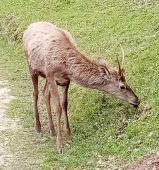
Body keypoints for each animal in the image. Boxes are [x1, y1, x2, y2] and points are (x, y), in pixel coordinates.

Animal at [23, 21, 140, 153]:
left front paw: (69, 135)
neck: (65, 66)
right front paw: (60, 146)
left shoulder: (65, 80)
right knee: (35, 93)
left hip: (45, 76)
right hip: (31, 66)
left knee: (45, 93)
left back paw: (52, 131)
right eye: (122, 86)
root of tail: (30, 25)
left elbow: (64, 104)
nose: (137, 100)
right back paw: (38, 129)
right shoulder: (51, 74)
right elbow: (57, 107)